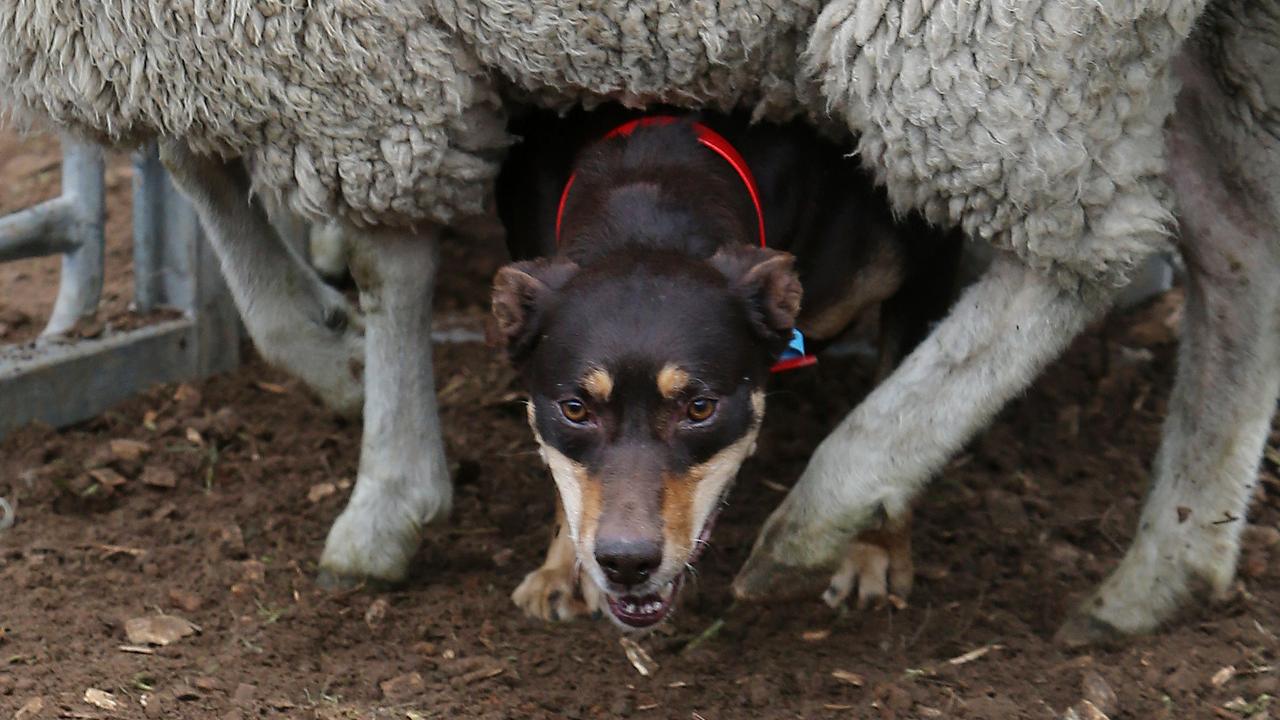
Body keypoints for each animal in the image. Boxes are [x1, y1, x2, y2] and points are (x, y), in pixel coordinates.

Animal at [488, 107, 962, 627]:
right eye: (574, 409)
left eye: (700, 408)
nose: (626, 562)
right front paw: (563, 570)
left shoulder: (923, 259)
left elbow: (903, 416)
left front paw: (869, 547)